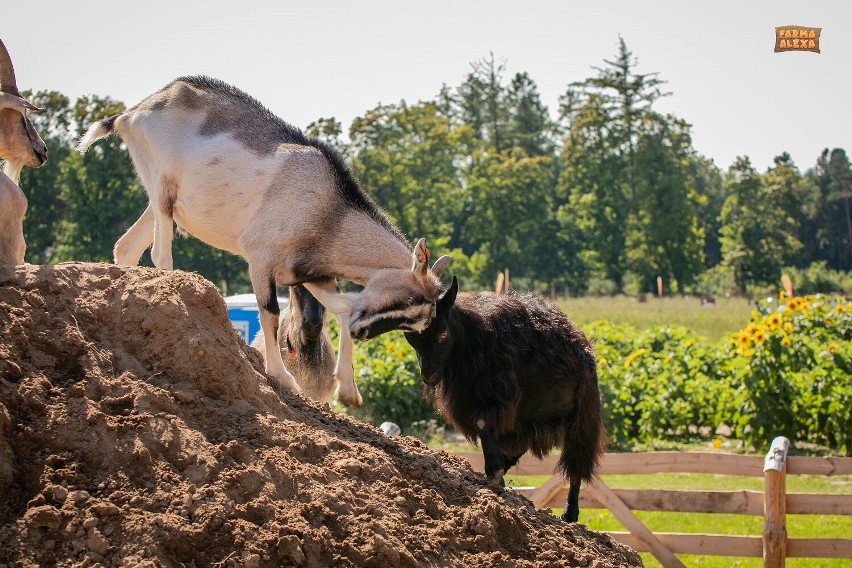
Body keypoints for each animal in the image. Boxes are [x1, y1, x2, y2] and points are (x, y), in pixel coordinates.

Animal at [402, 278, 604, 520]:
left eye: (442, 334)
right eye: (411, 339)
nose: (429, 376)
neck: (473, 338)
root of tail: (581, 343)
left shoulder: (502, 400)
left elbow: (481, 421)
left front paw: (494, 470)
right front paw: (495, 475)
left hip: (581, 417)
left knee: (577, 461)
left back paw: (570, 514)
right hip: (530, 419)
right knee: (519, 449)